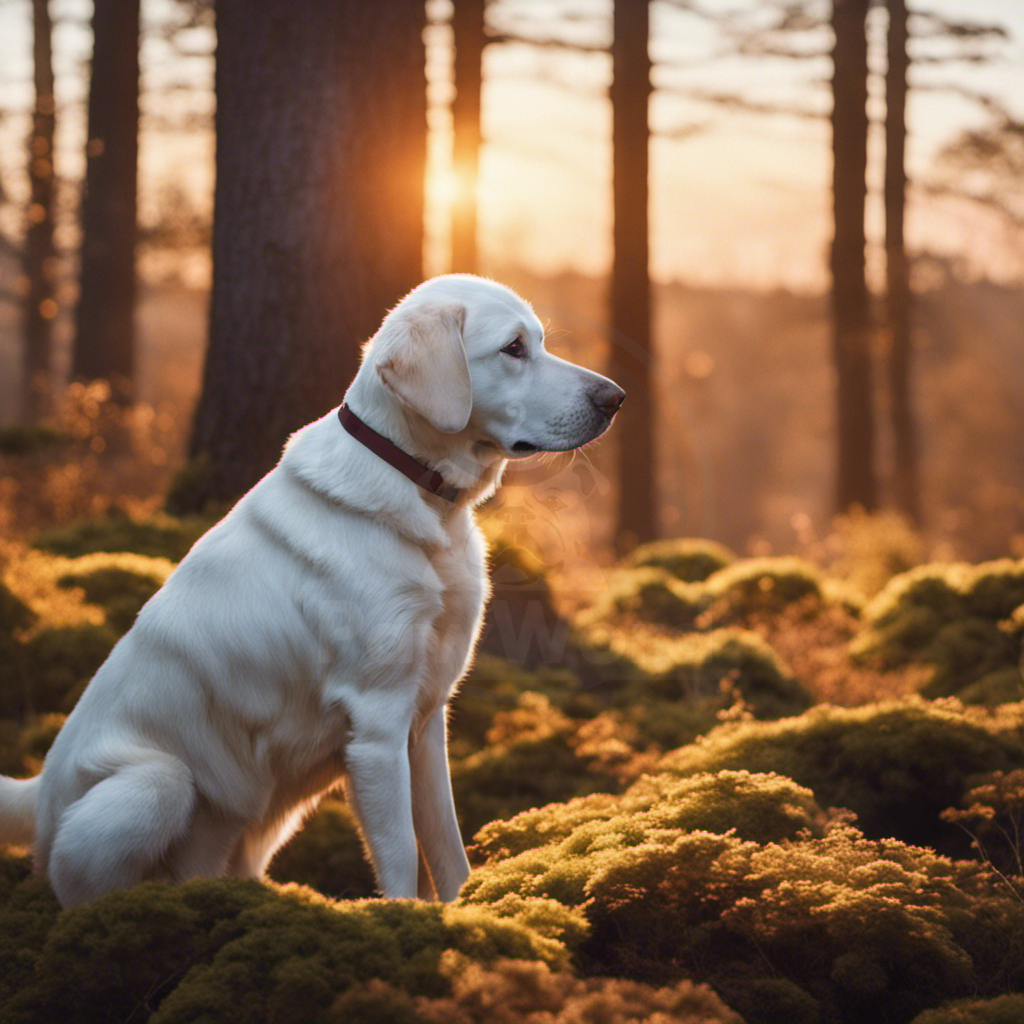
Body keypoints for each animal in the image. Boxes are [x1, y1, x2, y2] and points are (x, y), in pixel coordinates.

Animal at [0, 272, 622, 905]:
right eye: (513, 348)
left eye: (539, 341)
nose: (615, 397)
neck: (422, 494)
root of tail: (40, 790)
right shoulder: (378, 724)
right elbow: (402, 855)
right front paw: (404, 917)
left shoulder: (426, 721)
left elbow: (448, 848)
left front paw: (462, 913)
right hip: (156, 781)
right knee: (76, 886)